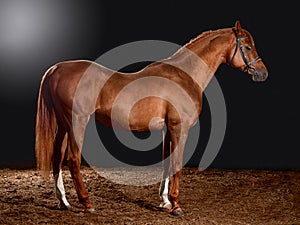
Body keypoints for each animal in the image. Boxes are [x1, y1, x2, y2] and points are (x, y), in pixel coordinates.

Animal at [35, 21, 268, 216]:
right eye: (248, 47)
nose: (263, 73)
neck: (184, 75)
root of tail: (57, 68)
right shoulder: (179, 128)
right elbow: (176, 164)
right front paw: (176, 205)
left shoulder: (167, 128)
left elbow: (166, 162)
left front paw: (164, 201)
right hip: (77, 122)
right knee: (72, 160)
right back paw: (87, 203)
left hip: (63, 125)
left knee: (56, 158)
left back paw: (63, 202)